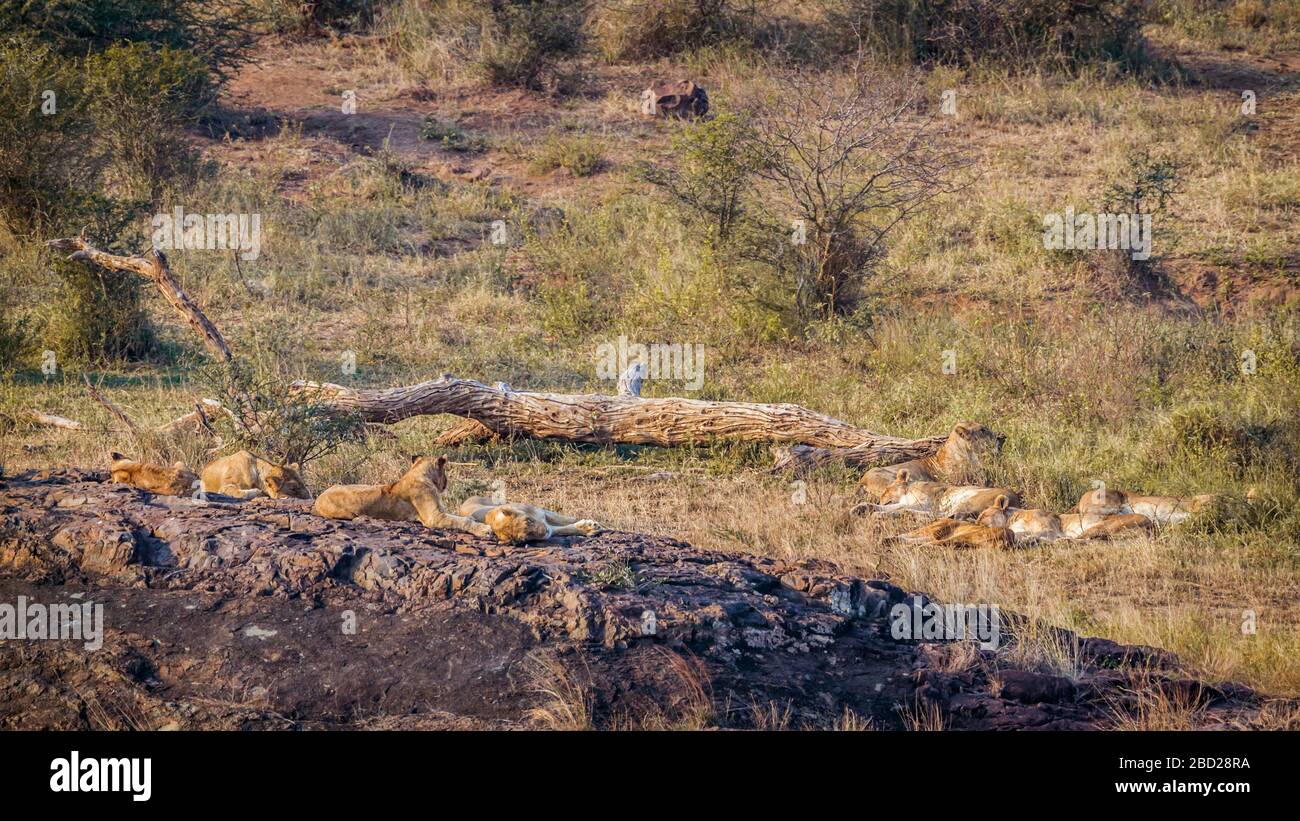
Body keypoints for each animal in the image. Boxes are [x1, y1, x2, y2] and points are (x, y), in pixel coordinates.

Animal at [312, 455, 492, 538]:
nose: (446, 483)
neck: (418, 473)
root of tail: (318, 499)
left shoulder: (439, 511)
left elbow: (458, 516)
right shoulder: (434, 517)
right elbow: (461, 521)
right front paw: (484, 529)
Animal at [456, 496, 602, 544]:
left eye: (528, 520)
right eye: (524, 538)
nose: (544, 532)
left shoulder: (542, 513)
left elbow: (566, 520)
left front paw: (592, 525)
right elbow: (565, 529)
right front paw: (589, 528)